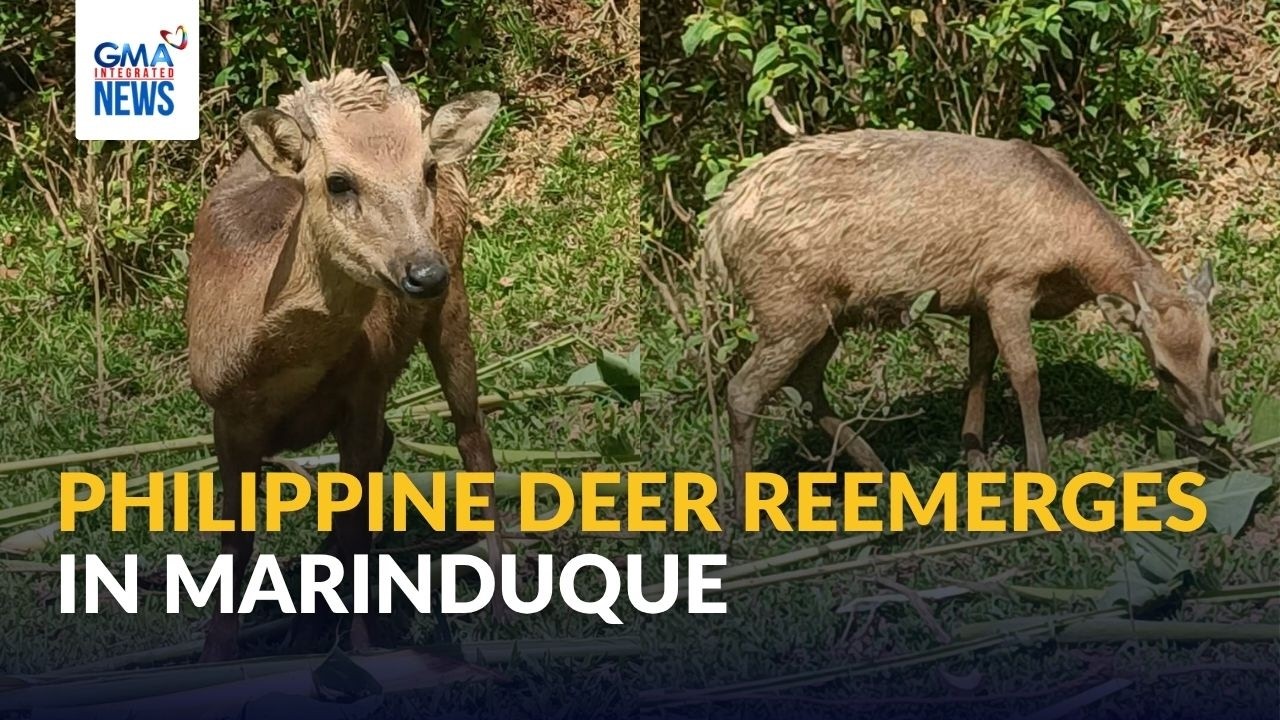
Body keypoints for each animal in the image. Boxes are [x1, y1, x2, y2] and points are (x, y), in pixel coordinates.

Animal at [185, 65, 501, 661]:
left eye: (425, 170)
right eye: (338, 182)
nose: (423, 272)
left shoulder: (366, 388)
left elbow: (356, 527)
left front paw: (362, 649)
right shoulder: (225, 414)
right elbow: (235, 541)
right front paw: (215, 656)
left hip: (455, 295)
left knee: (472, 435)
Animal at [704, 129, 1224, 519]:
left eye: (1215, 354)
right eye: (1162, 371)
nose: (1213, 425)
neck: (1072, 260)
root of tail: (717, 232)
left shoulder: (979, 295)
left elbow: (979, 368)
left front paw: (975, 453)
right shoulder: (1008, 282)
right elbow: (1025, 375)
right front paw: (1038, 470)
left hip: (829, 311)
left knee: (806, 383)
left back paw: (881, 472)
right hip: (789, 303)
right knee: (746, 390)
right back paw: (745, 513)